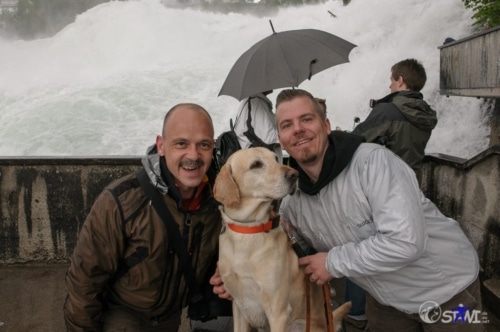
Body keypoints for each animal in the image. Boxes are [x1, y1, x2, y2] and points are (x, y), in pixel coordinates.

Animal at [213, 148, 350, 332]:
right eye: (256, 164)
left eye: (276, 159)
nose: (294, 175)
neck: (248, 229)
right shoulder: (239, 306)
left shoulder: (278, 312)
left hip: (299, 325)